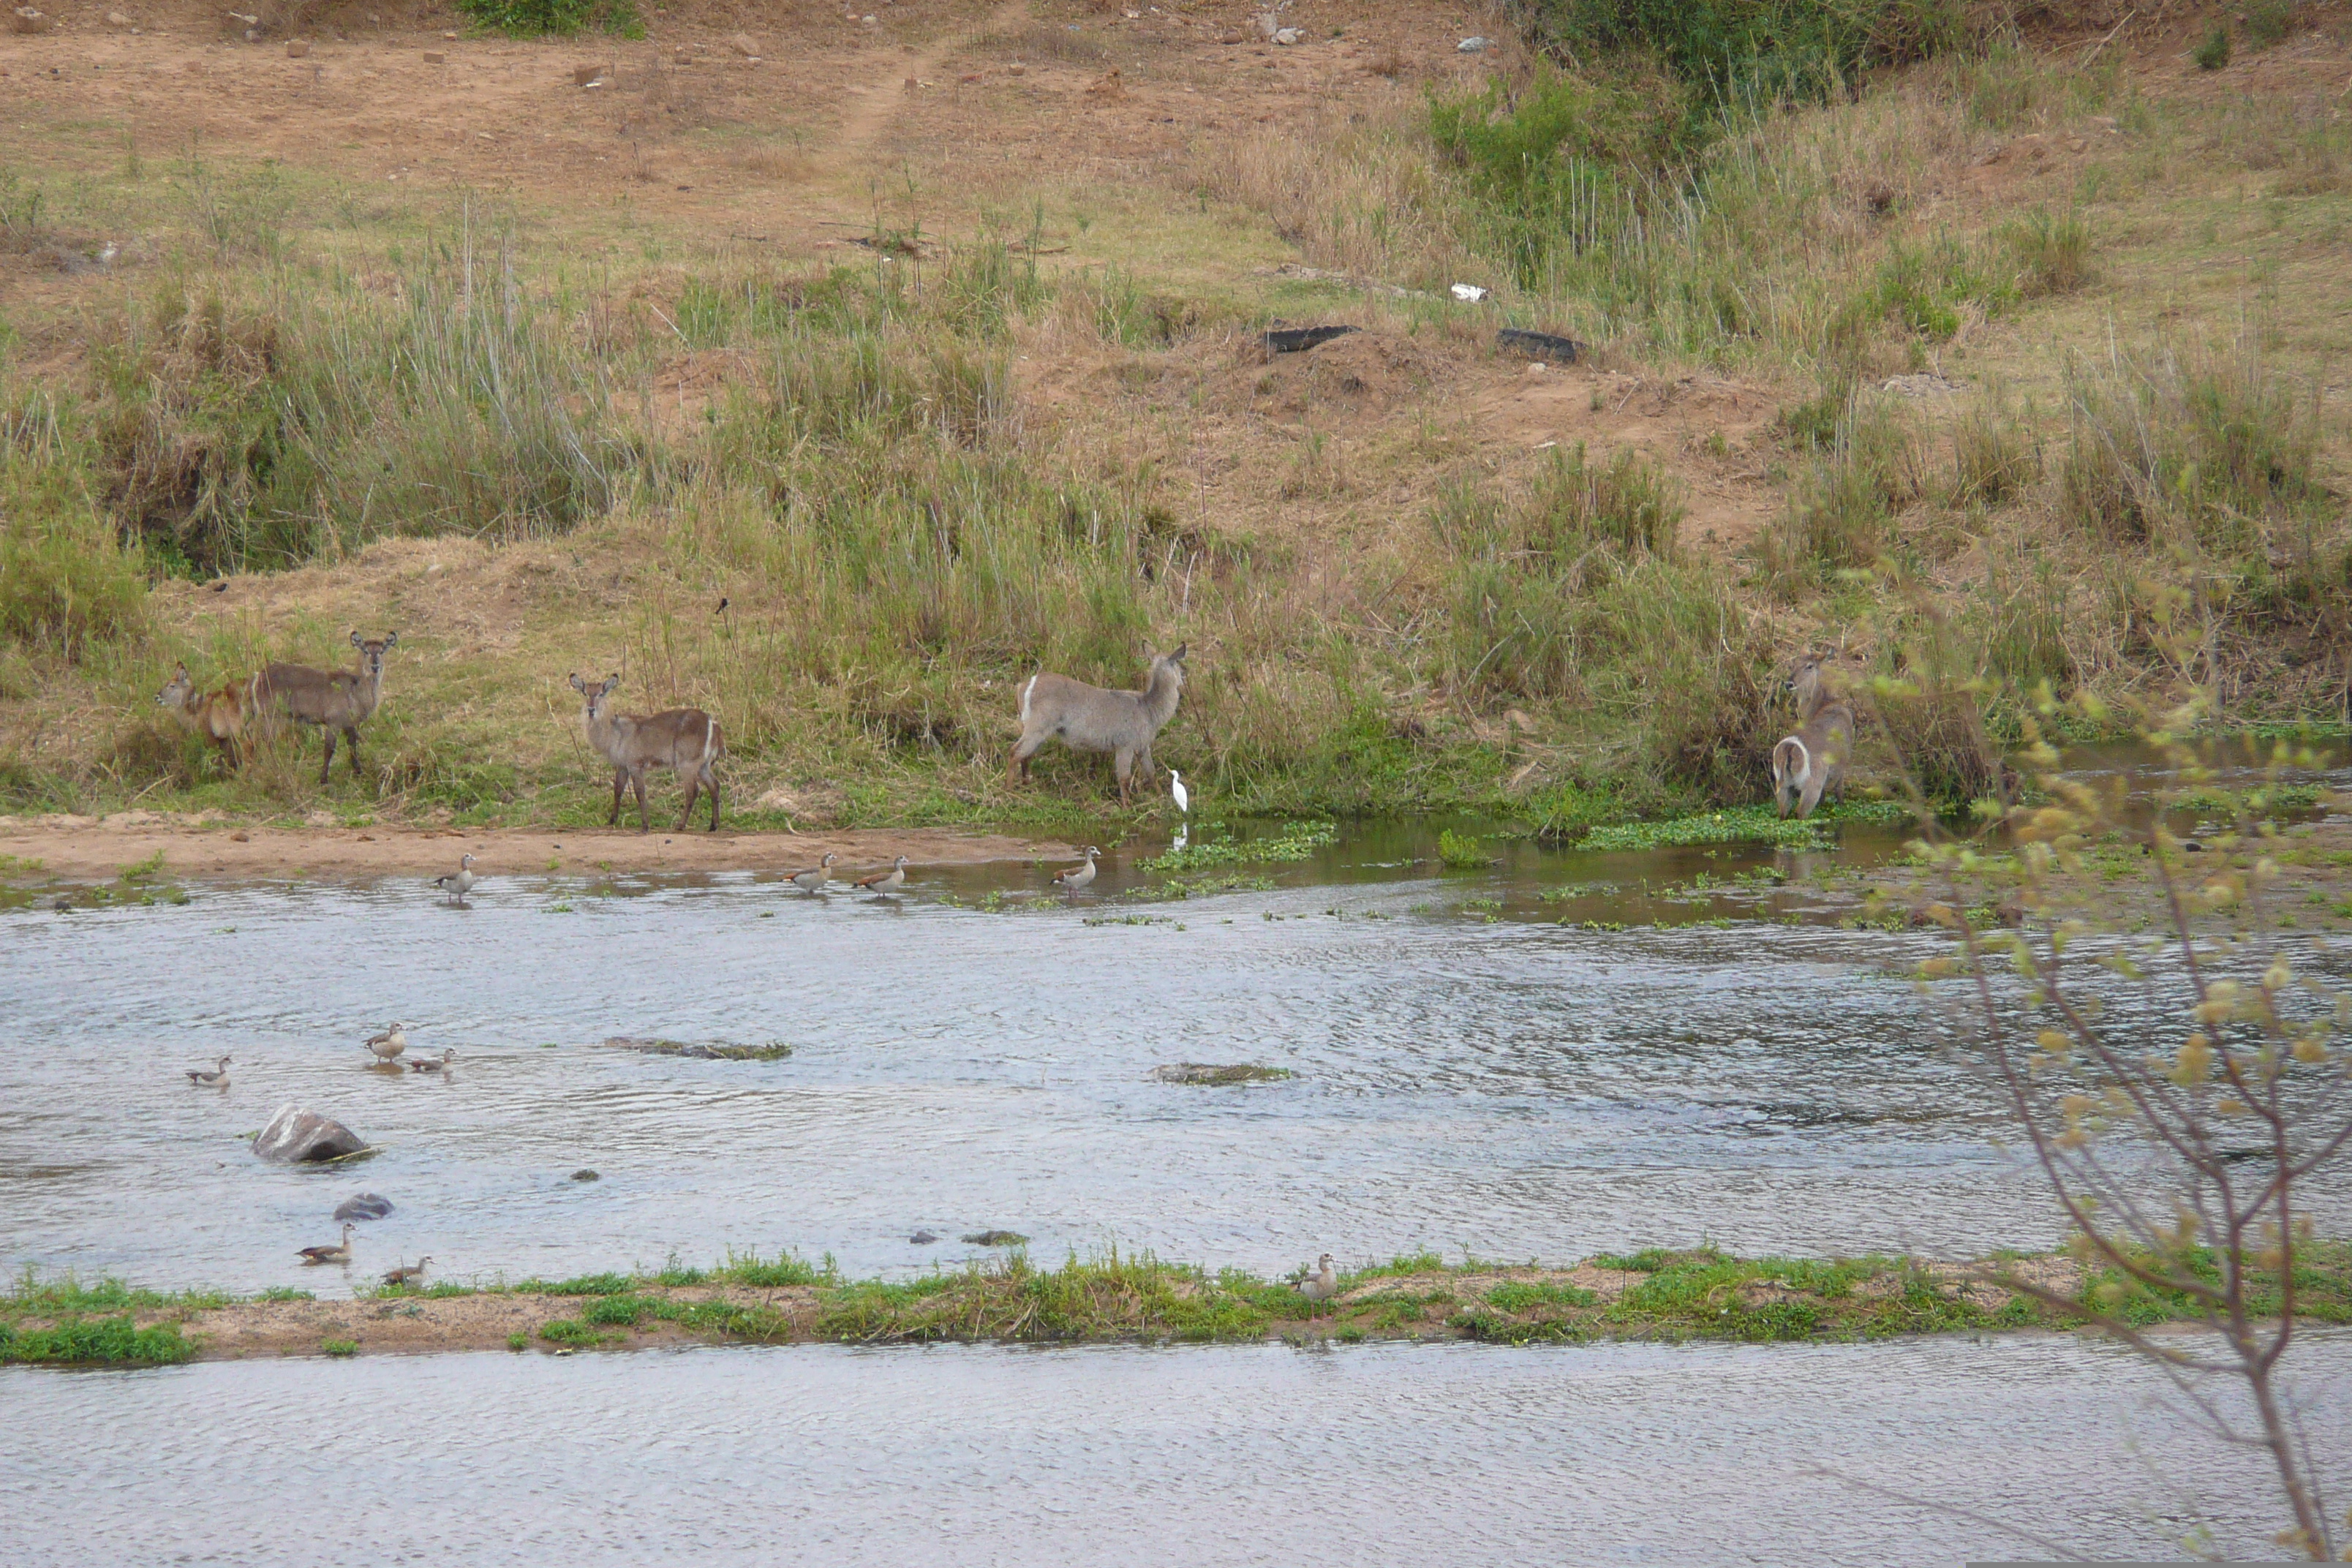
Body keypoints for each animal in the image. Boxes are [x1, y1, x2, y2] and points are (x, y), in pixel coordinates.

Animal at [159, 663, 260, 766]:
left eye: (172, 685)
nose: (157, 697)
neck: (195, 713)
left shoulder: (210, 737)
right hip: (252, 727)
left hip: (239, 730)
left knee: (247, 747)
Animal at [255, 630, 397, 785]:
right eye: (365, 651)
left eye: (382, 651)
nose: (375, 667)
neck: (356, 689)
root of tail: (259, 676)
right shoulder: (334, 722)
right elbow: (329, 749)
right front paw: (323, 780)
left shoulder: (349, 724)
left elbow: (352, 746)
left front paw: (359, 772)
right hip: (272, 717)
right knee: (265, 742)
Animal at [564, 682, 720, 841]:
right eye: (585, 693)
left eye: (601, 693)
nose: (591, 709)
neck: (614, 732)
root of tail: (711, 723)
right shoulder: (622, 766)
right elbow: (618, 790)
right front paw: (612, 820)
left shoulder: (635, 765)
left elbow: (640, 792)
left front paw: (645, 826)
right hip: (703, 765)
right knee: (714, 785)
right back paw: (713, 826)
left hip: (687, 763)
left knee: (692, 790)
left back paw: (680, 825)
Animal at [1011, 644, 1194, 804]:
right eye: (1178, 663)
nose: (1185, 676)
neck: (1149, 709)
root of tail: (1024, 685)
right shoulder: (1125, 746)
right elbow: (1124, 779)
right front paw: (1127, 807)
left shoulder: (1143, 746)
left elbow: (1151, 773)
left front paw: (1161, 796)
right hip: (1037, 728)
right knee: (1014, 752)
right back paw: (1009, 790)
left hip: (1039, 732)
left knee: (1025, 756)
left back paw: (1026, 785)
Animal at [1768, 653, 1863, 823]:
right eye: (1794, 664)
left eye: (1809, 666)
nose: (1789, 684)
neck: (1825, 704)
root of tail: (1791, 746)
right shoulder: (1842, 767)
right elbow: (1839, 793)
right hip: (1812, 786)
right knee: (1801, 813)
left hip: (1783, 786)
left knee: (1784, 813)